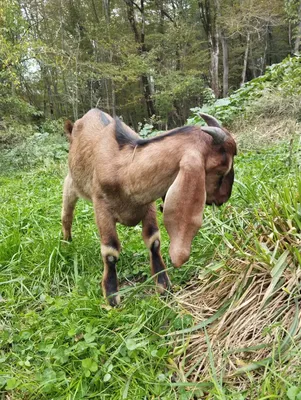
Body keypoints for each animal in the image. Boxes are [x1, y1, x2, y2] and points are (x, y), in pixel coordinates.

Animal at [61, 108, 236, 304]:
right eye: (221, 169)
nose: (224, 197)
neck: (126, 169)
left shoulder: (148, 203)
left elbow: (154, 241)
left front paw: (163, 286)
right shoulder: (101, 206)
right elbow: (110, 251)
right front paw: (112, 297)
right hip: (72, 183)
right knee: (66, 214)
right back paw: (66, 242)